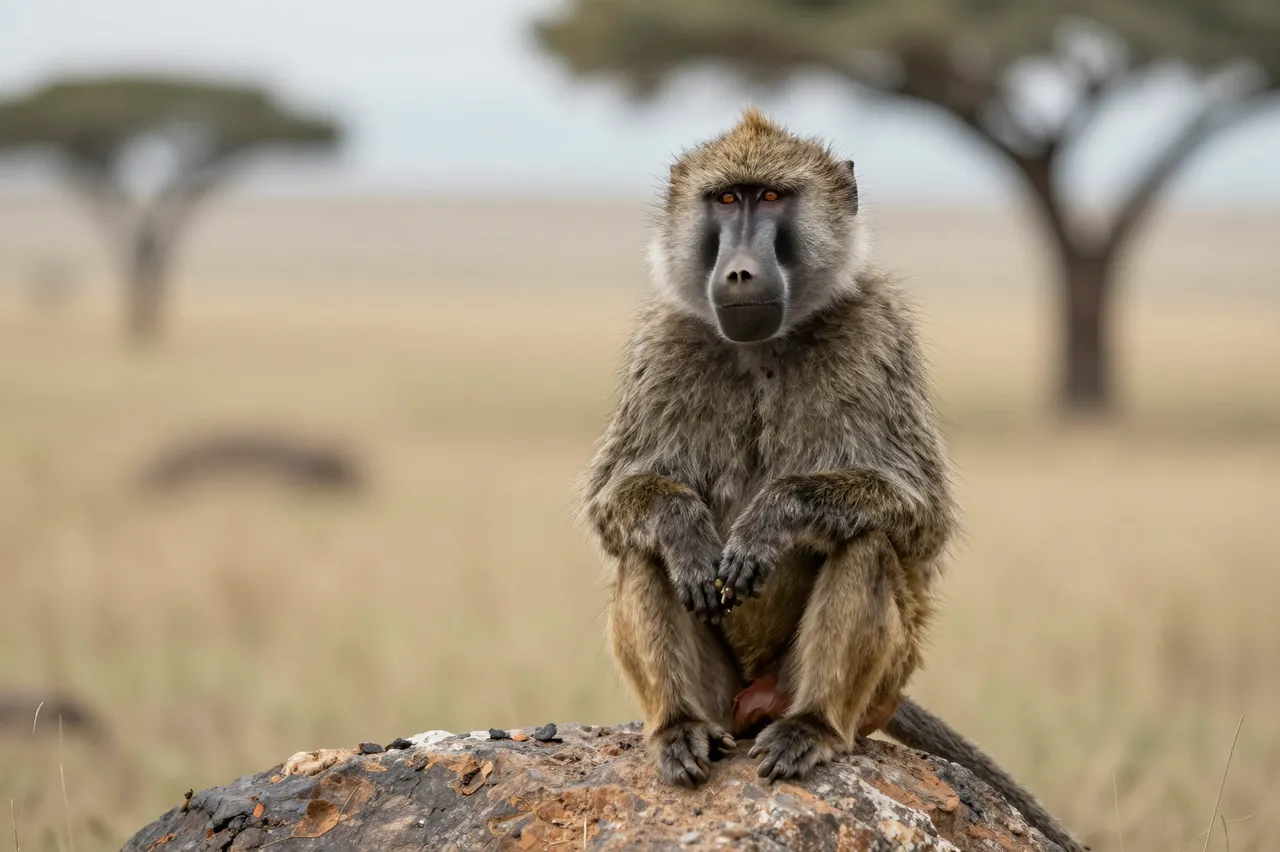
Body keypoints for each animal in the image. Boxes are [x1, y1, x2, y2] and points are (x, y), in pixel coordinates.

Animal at [578, 107, 1086, 852]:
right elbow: (616, 502)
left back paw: (811, 726)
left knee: (865, 543)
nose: (739, 271)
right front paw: (689, 533)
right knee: (646, 553)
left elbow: (920, 513)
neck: (766, 345)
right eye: (725, 200)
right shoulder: (663, 345)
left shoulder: (879, 337)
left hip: (875, 680)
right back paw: (678, 727)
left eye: (771, 198)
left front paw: (773, 518)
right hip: (724, 699)